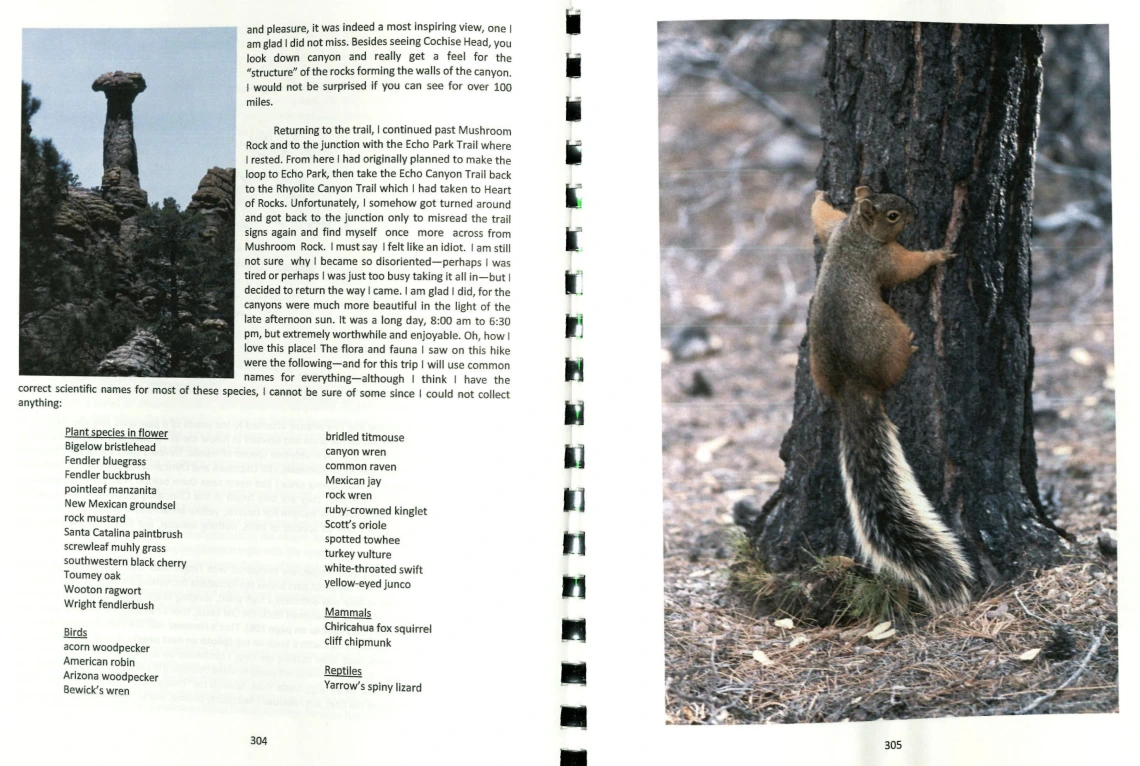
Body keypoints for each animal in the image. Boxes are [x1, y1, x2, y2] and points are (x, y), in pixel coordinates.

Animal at [807, 186, 975, 610]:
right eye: (894, 215)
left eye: (891, 198)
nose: (915, 212)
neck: (856, 233)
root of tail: (853, 388)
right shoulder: (885, 258)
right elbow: (907, 266)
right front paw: (938, 255)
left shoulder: (834, 228)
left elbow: (821, 217)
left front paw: (818, 194)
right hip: (889, 335)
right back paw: (913, 348)